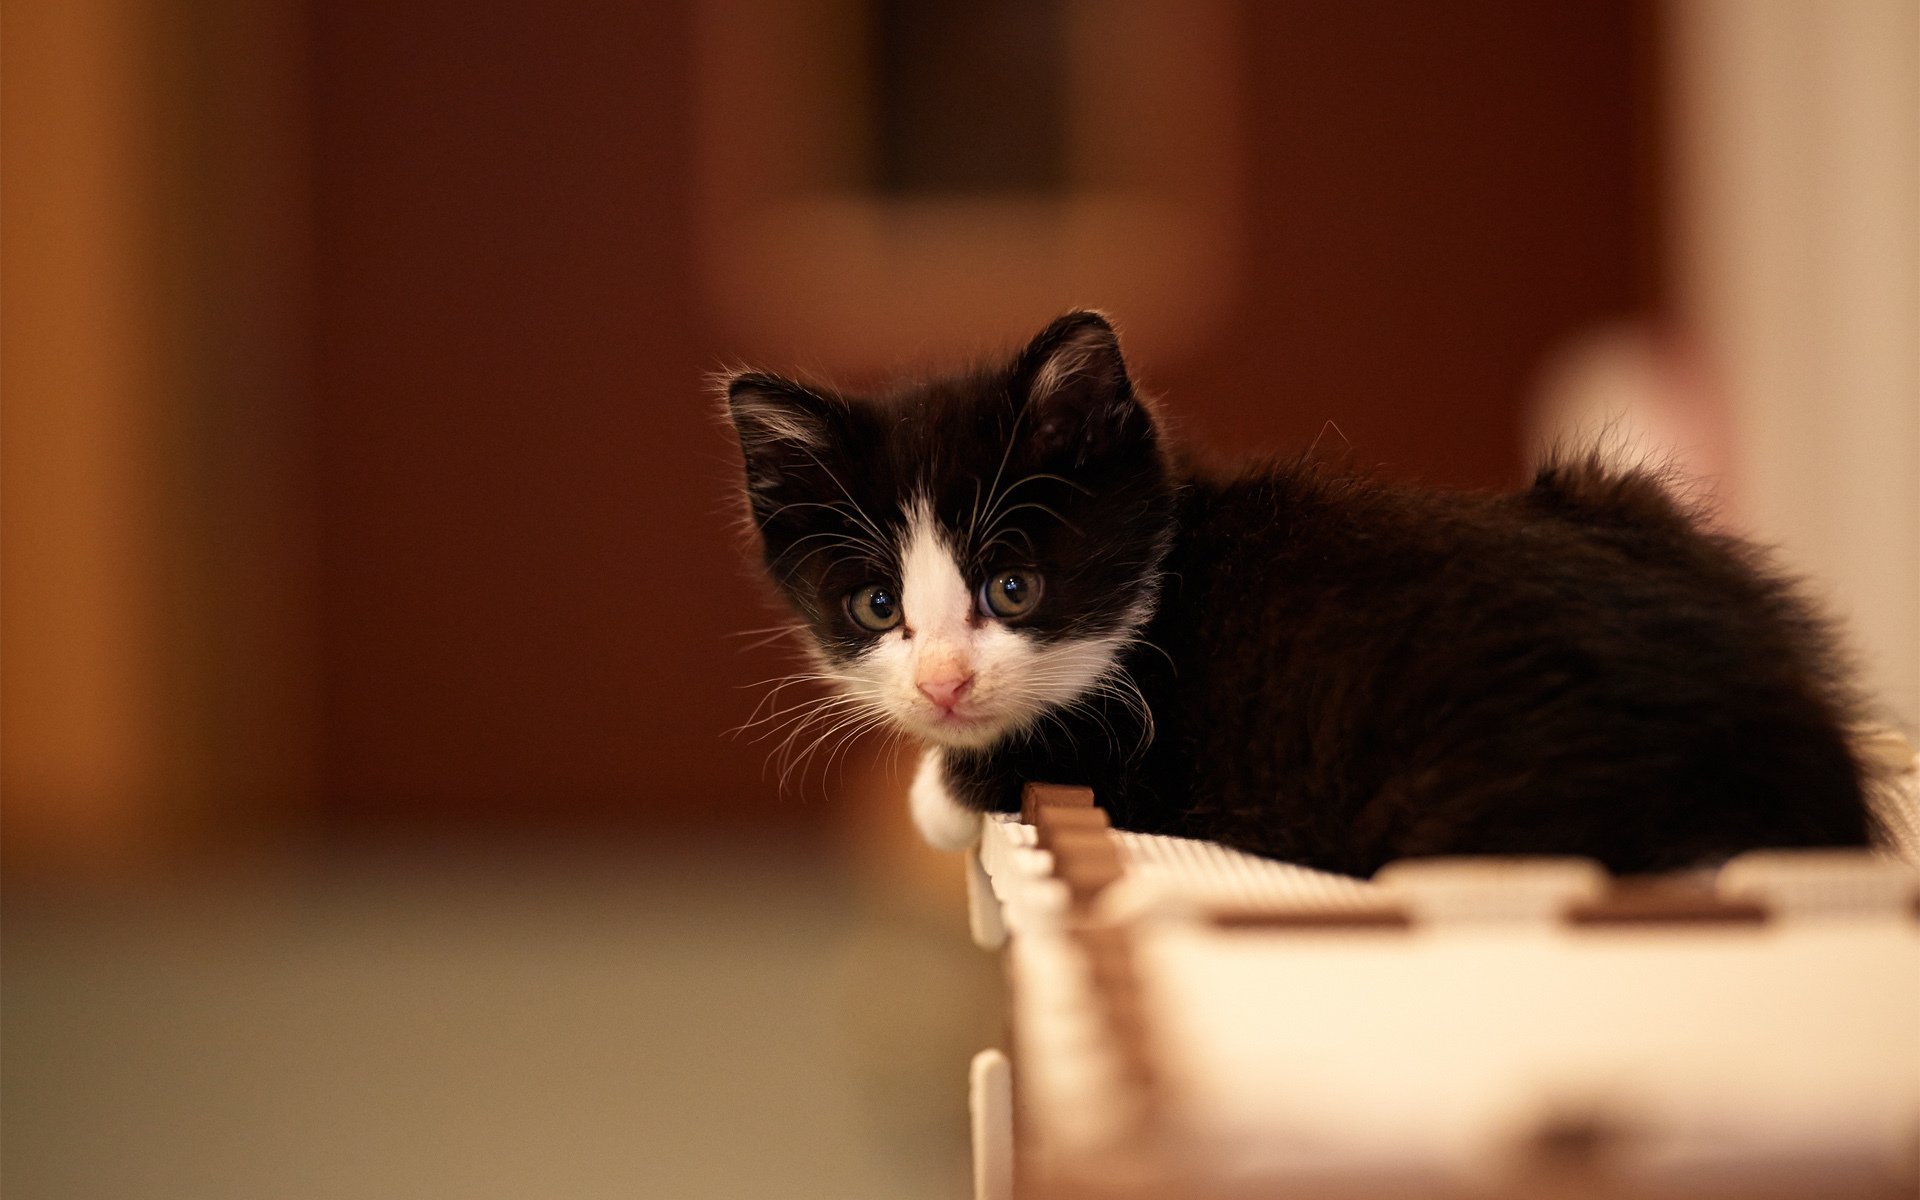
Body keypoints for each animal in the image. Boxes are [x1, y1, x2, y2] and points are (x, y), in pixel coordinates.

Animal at [721, 309, 1873, 871]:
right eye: (876, 608)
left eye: (1012, 586)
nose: (944, 683)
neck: (1165, 585)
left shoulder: (1135, 750)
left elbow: (996, 764)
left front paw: (935, 789)